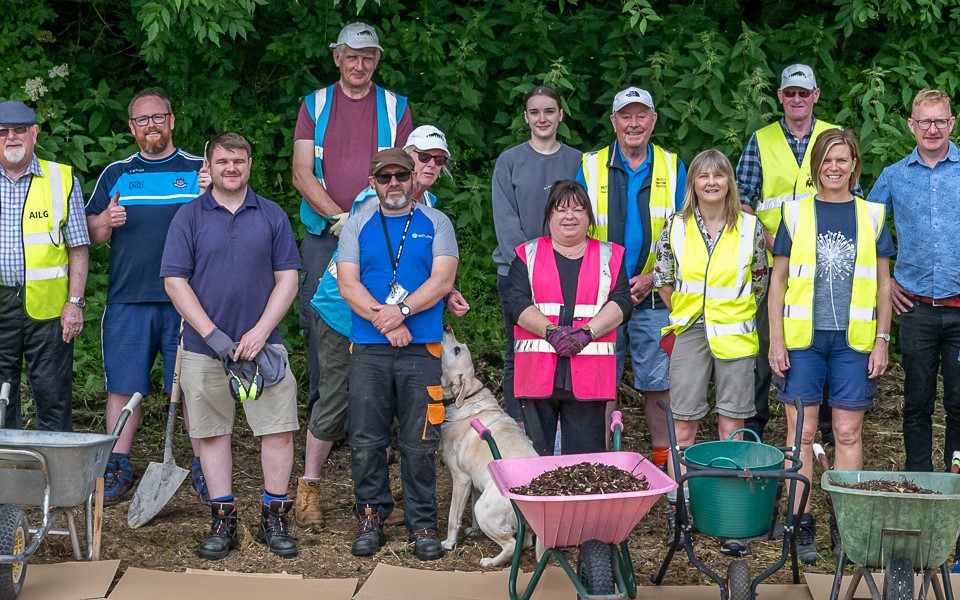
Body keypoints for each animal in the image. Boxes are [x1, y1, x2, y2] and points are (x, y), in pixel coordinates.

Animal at [438, 326, 536, 564]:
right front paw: (474, 531)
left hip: (485, 509)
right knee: (525, 541)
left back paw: (490, 561)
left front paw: (449, 543)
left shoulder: (461, 479)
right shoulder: (473, 482)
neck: (465, 398)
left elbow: (453, 516)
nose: (447, 327)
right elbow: (470, 512)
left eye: (457, 349)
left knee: (510, 545)